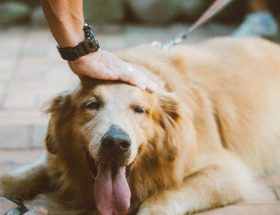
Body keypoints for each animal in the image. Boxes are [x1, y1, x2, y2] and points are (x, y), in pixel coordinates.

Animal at [0, 37, 280, 214]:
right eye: (92, 104)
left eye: (140, 110)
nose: (116, 143)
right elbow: (20, 175)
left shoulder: (227, 171)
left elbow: (164, 196)